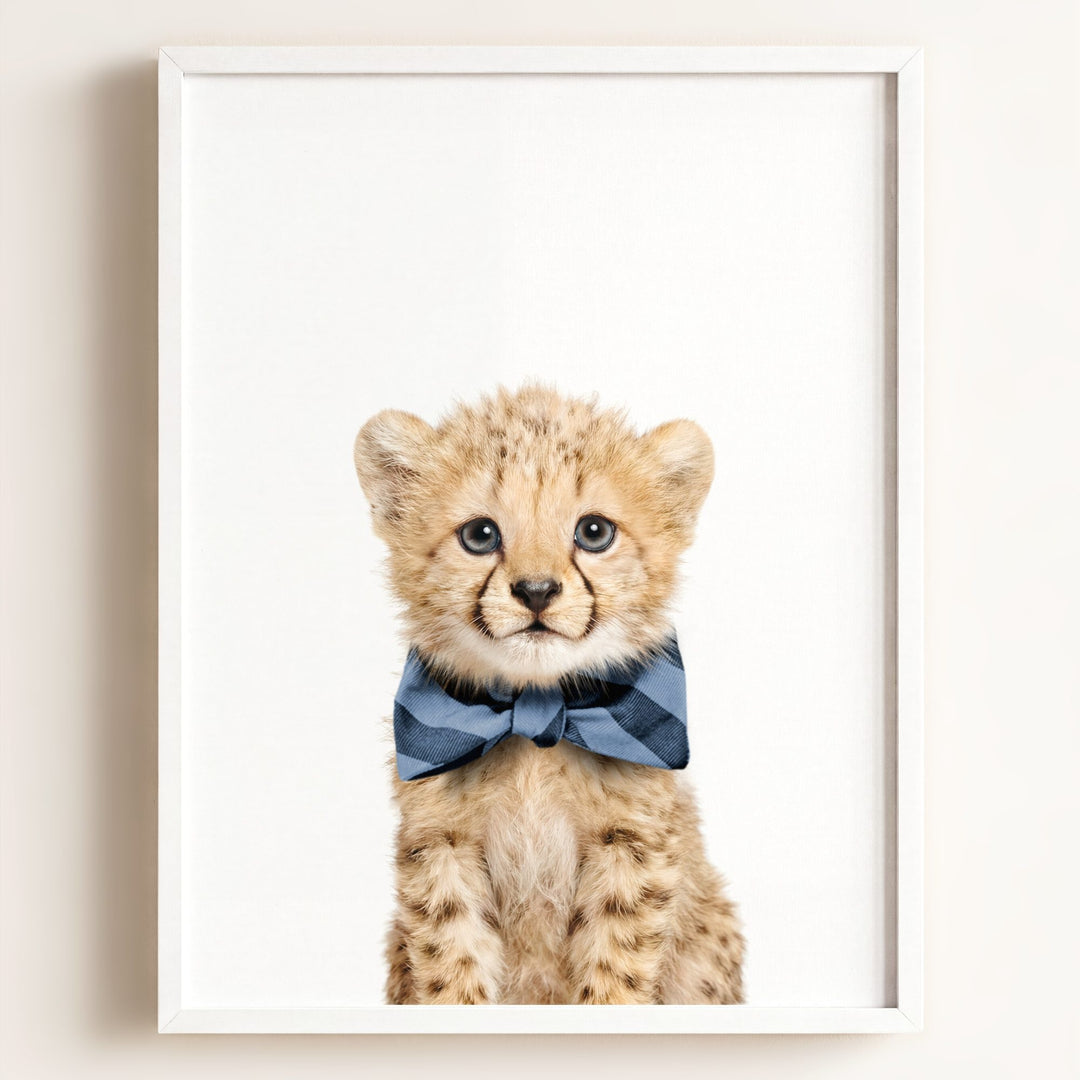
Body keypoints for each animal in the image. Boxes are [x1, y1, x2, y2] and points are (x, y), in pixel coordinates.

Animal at [353, 384, 743, 1005]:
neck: (536, 711)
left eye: (594, 532)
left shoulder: (632, 847)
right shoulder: (441, 846)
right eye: (480, 535)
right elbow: (450, 962)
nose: (536, 591)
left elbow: (615, 967)